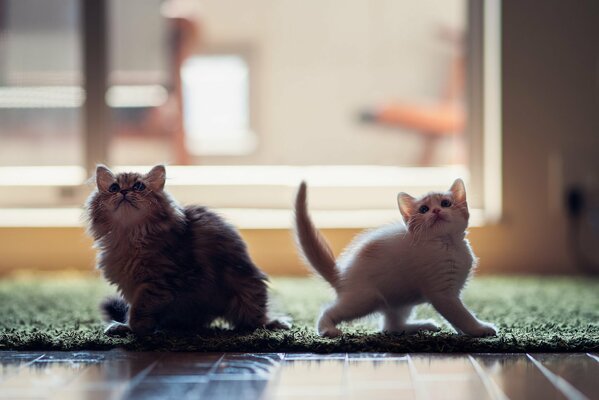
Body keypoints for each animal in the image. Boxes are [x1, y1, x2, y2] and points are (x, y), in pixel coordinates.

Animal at [85, 164, 290, 336]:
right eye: (114, 188)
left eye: (139, 186)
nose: (124, 191)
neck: (130, 235)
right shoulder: (132, 284)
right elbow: (133, 308)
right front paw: (127, 327)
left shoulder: (162, 281)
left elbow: (139, 308)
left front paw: (137, 328)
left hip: (246, 292)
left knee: (255, 321)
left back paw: (274, 323)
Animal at [294, 179, 496, 338]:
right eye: (424, 209)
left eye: (446, 203)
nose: (436, 211)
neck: (448, 244)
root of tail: (342, 276)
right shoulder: (442, 293)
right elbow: (461, 314)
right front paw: (479, 329)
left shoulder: (452, 290)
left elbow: (456, 317)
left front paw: (465, 331)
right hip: (365, 298)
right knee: (329, 310)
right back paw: (326, 329)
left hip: (399, 300)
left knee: (390, 327)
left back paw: (421, 326)